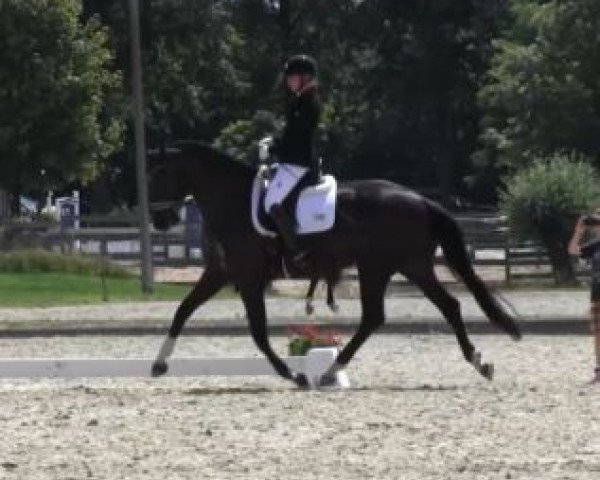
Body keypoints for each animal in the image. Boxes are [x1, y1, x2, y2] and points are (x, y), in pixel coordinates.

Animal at [146, 142, 520, 386]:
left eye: (160, 172)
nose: (160, 220)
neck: (233, 202)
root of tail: (421, 200)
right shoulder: (219, 272)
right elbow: (182, 311)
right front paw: (159, 364)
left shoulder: (249, 279)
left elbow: (258, 334)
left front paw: (294, 374)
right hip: (407, 267)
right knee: (442, 306)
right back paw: (479, 362)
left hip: (381, 267)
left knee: (380, 316)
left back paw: (328, 370)